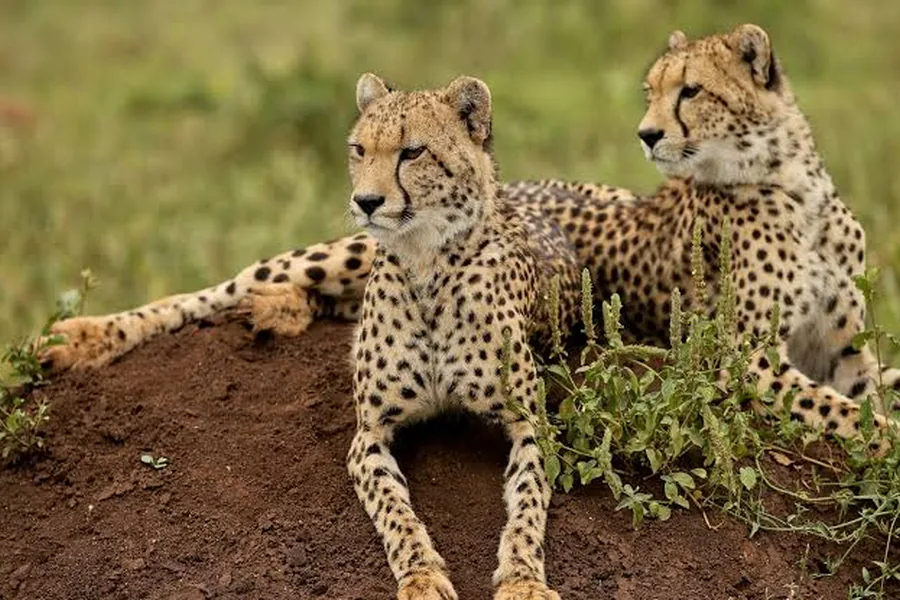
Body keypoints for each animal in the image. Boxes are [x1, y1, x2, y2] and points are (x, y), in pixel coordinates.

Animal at [42, 23, 898, 451]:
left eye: (691, 92)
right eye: (650, 91)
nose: (648, 133)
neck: (793, 182)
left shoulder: (846, 350)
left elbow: (874, 389)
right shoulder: (742, 357)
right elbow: (850, 414)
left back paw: (278, 313)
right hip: (350, 245)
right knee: (218, 287)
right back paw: (82, 334)